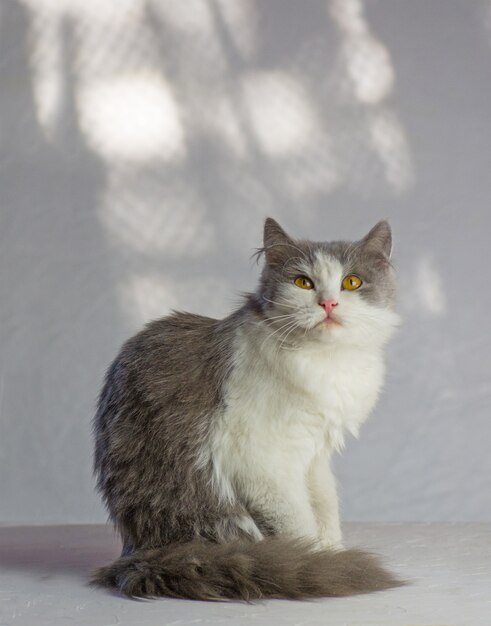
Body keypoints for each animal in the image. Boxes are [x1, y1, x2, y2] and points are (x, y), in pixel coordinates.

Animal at [92, 217, 404, 596]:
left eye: (351, 282)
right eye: (303, 282)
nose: (328, 304)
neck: (327, 362)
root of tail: (139, 550)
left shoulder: (315, 456)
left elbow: (326, 509)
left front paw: (333, 553)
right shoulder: (262, 461)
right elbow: (300, 523)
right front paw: (319, 561)